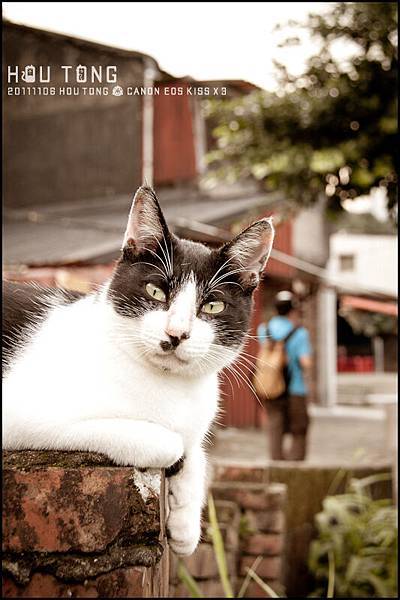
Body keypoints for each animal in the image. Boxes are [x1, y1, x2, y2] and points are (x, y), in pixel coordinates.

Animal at [1, 185, 274, 556]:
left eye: (213, 306)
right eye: (155, 291)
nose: (176, 333)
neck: (169, 386)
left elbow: (197, 451)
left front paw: (186, 525)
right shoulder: (23, 414)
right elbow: (173, 442)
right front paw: (176, 460)